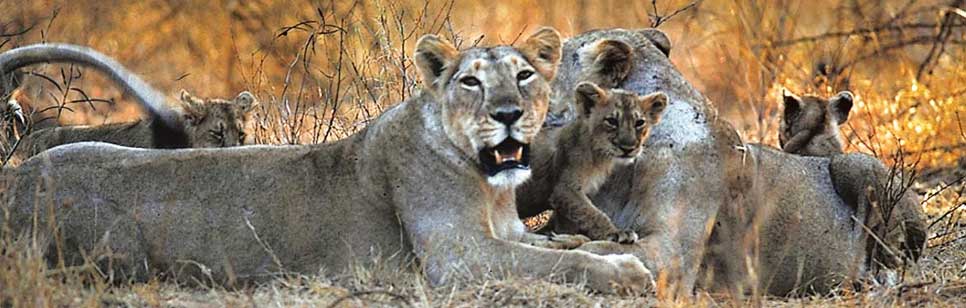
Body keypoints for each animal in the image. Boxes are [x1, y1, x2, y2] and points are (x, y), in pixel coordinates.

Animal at [1, 28, 652, 294]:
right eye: (470, 81)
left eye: (523, 76)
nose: (510, 113)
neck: (488, 183)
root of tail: (17, 182)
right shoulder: (458, 258)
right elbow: (560, 264)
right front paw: (627, 271)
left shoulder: (509, 233)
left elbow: (568, 245)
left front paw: (617, 248)